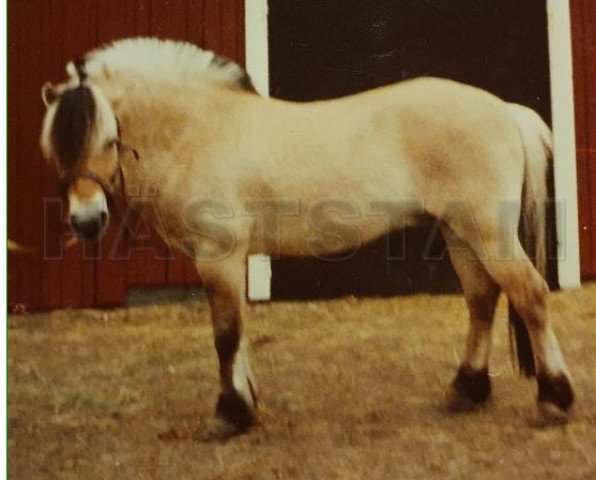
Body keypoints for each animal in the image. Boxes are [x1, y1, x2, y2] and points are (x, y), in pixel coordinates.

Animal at [39, 36, 576, 436]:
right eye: (55, 146)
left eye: (108, 139)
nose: (86, 221)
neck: (202, 131)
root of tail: (505, 110)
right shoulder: (230, 260)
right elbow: (239, 331)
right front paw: (247, 403)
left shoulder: (218, 255)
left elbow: (226, 334)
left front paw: (229, 415)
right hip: (458, 233)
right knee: (483, 298)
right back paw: (466, 391)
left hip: (486, 231)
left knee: (529, 294)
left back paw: (554, 400)